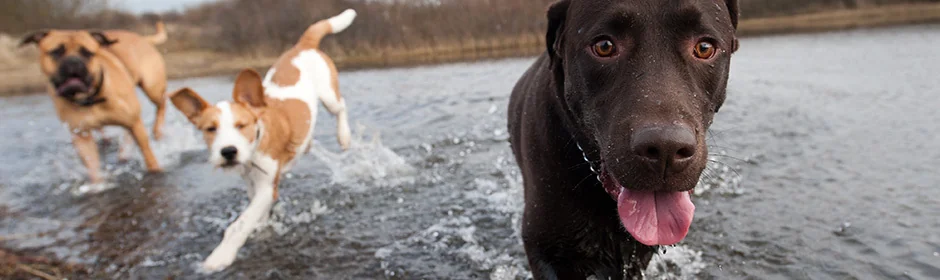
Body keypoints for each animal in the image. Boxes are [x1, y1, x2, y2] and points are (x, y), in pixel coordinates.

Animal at [20, 22, 170, 184]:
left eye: (87, 53)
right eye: (56, 52)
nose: (73, 62)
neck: (90, 98)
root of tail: (142, 38)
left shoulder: (134, 123)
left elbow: (147, 152)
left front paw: (155, 170)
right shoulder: (81, 135)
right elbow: (92, 165)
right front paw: (97, 185)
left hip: (152, 87)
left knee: (162, 103)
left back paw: (157, 131)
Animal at [169, 9, 356, 272]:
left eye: (241, 125)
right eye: (210, 129)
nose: (228, 152)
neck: (256, 144)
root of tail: (303, 46)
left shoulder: (266, 187)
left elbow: (239, 224)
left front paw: (220, 256)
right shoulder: (252, 184)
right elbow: (257, 215)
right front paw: (262, 228)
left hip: (329, 95)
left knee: (342, 107)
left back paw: (344, 136)